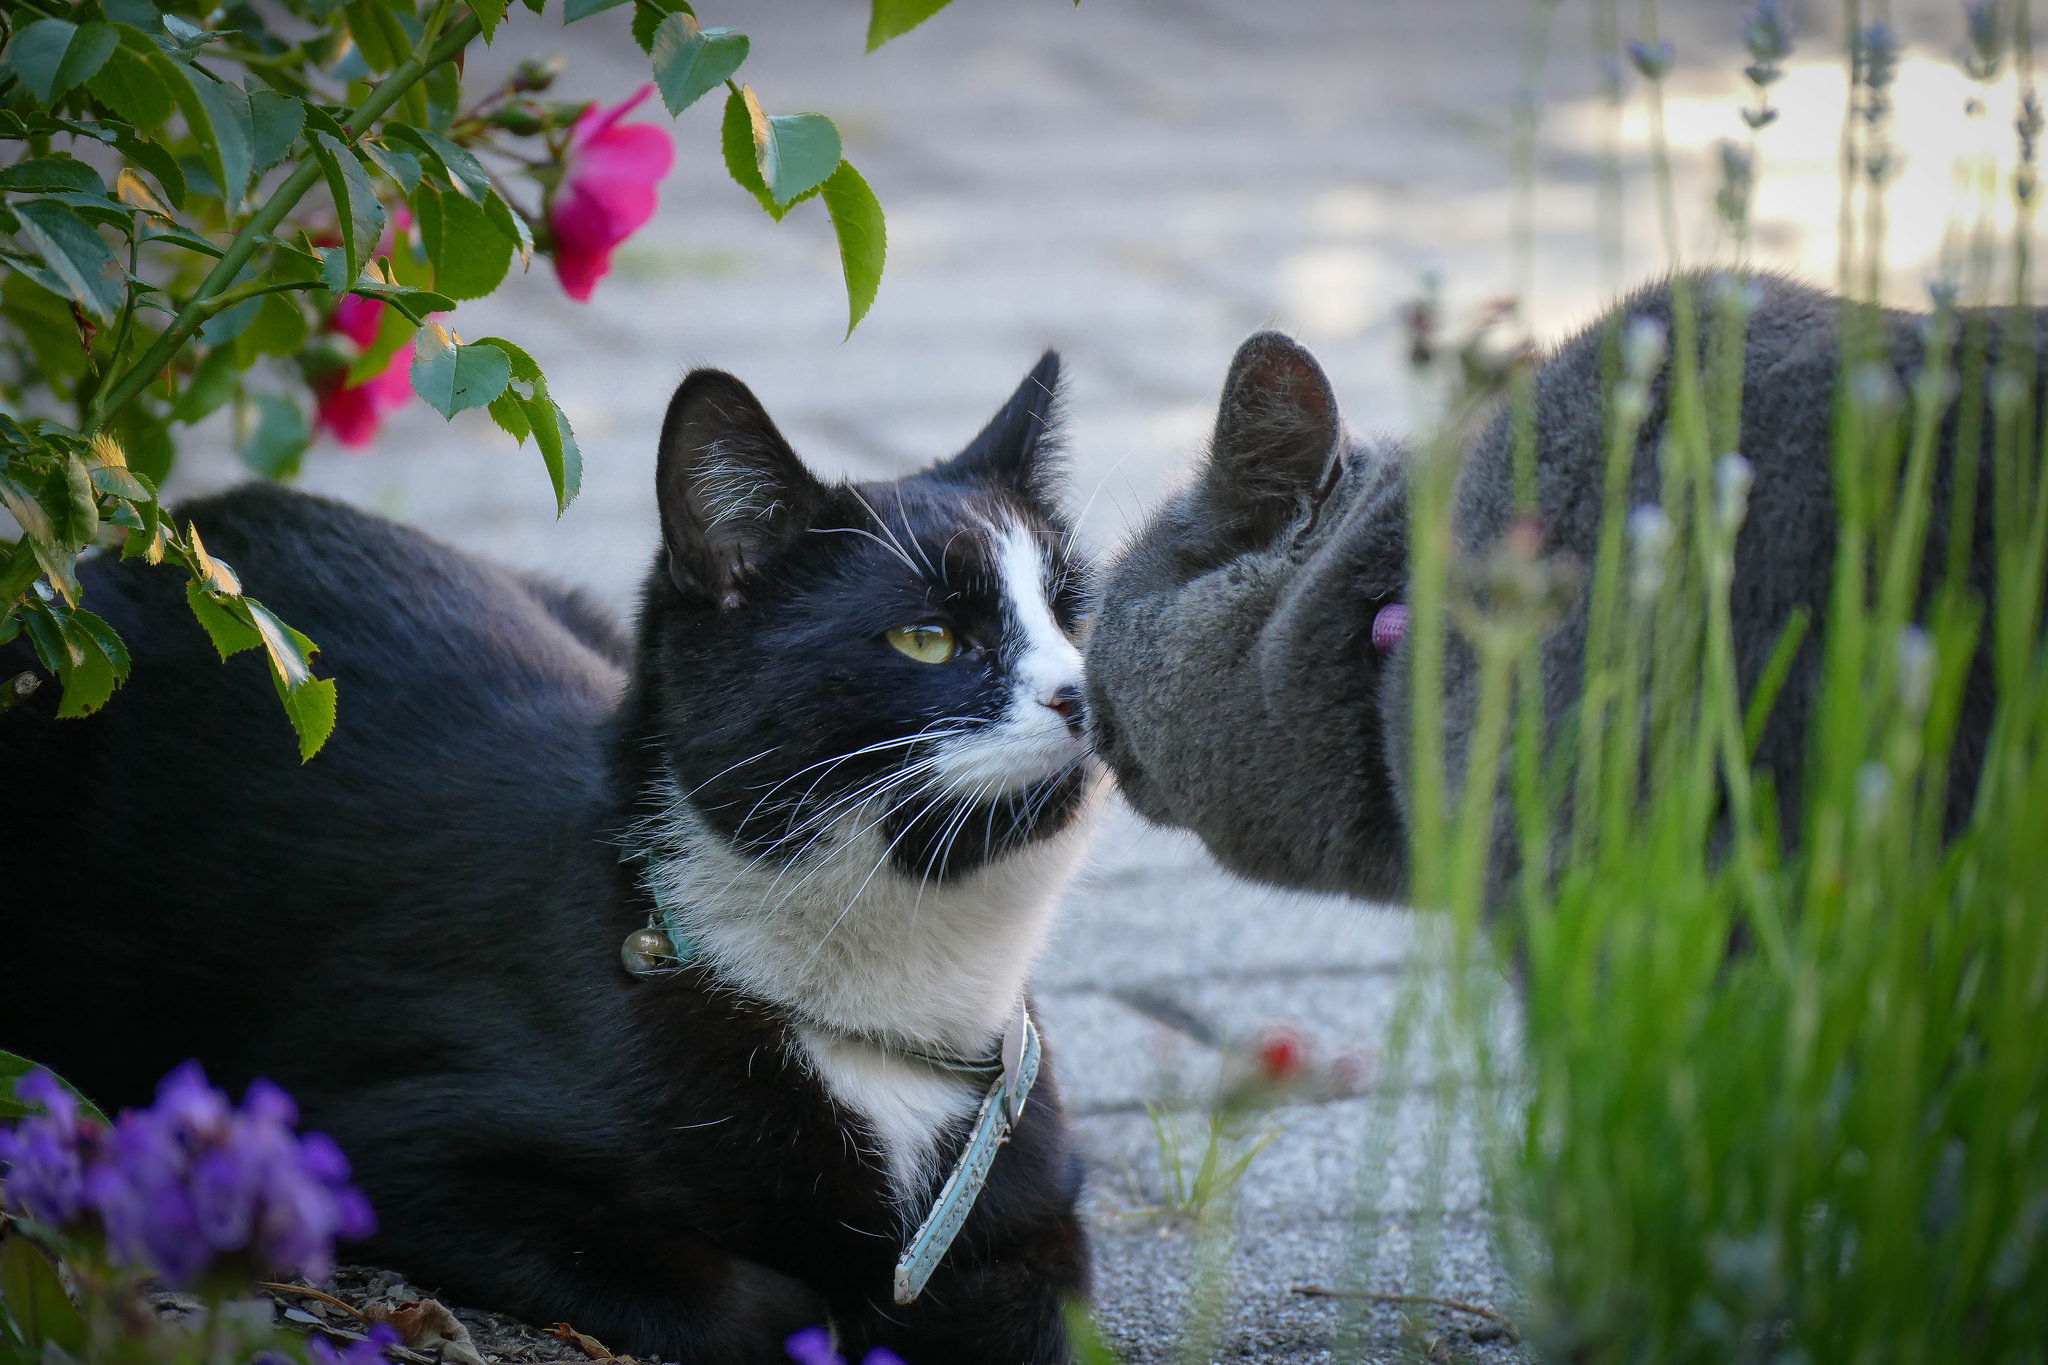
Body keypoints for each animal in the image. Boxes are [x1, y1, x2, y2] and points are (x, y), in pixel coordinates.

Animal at [0, 356, 1105, 1365]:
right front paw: (824, 1318)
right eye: (928, 638)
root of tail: (168, 530)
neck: (882, 1009)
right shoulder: (380, 1141)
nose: (1085, 691)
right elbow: (744, 1301)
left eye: (1076, 615)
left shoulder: (1030, 1193)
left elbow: (1038, 1314)